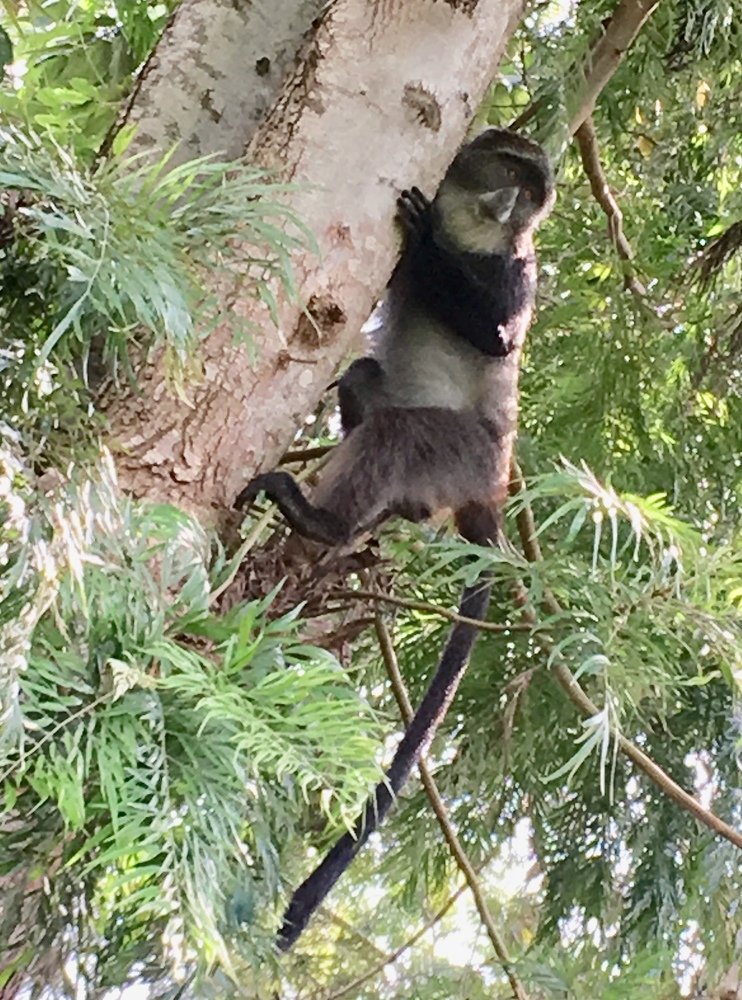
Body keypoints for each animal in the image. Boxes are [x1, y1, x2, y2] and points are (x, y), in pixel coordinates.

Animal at [235, 128, 555, 950]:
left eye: (532, 193)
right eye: (509, 169)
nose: (508, 202)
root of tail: (488, 491)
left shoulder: (519, 271)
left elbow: (497, 336)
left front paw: (426, 243)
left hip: (461, 451)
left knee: (402, 433)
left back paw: (324, 521)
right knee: (364, 376)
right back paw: (391, 500)